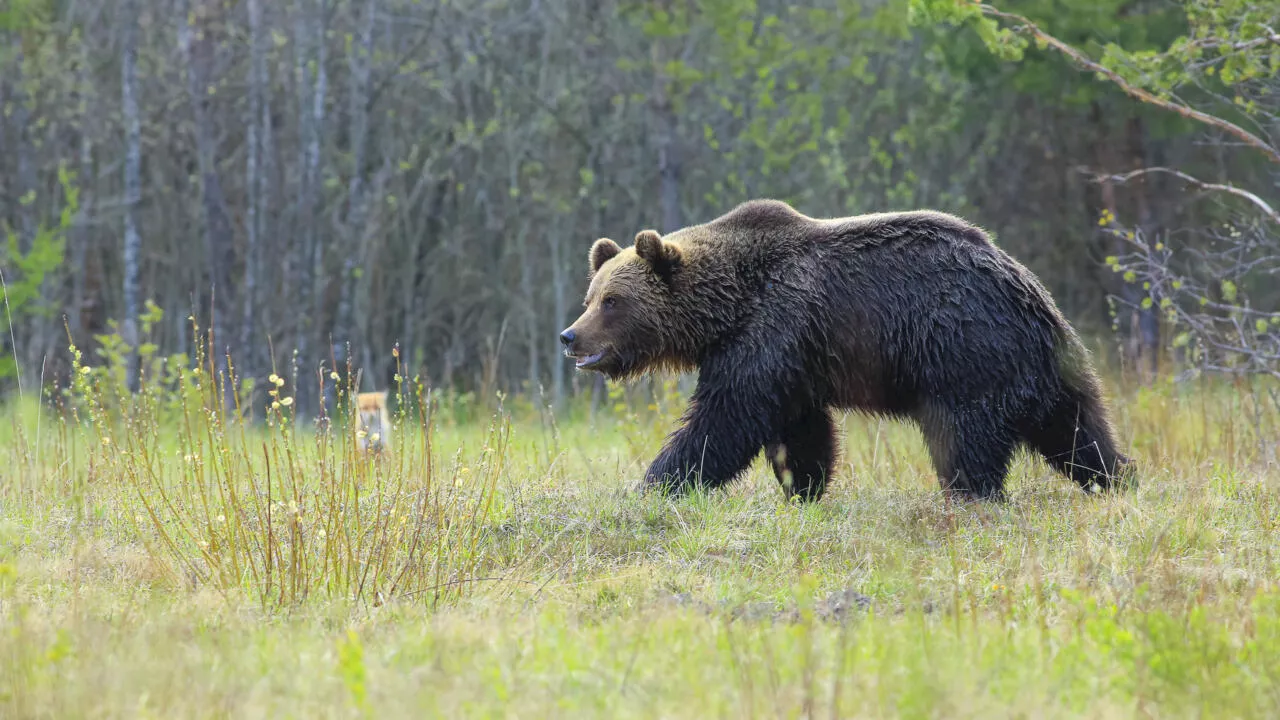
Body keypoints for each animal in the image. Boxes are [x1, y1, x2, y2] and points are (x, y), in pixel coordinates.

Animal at [560, 197, 1131, 499]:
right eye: (590, 297)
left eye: (613, 301)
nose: (570, 336)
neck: (728, 308)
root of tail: (1028, 289)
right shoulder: (793, 360)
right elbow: (801, 429)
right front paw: (804, 488)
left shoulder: (773, 329)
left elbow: (725, 418)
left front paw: (659, 482)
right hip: (1050, 368)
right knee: (1078, 432)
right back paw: (1116, 480)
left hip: (963, 351)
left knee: (966, 438)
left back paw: (973, 496)